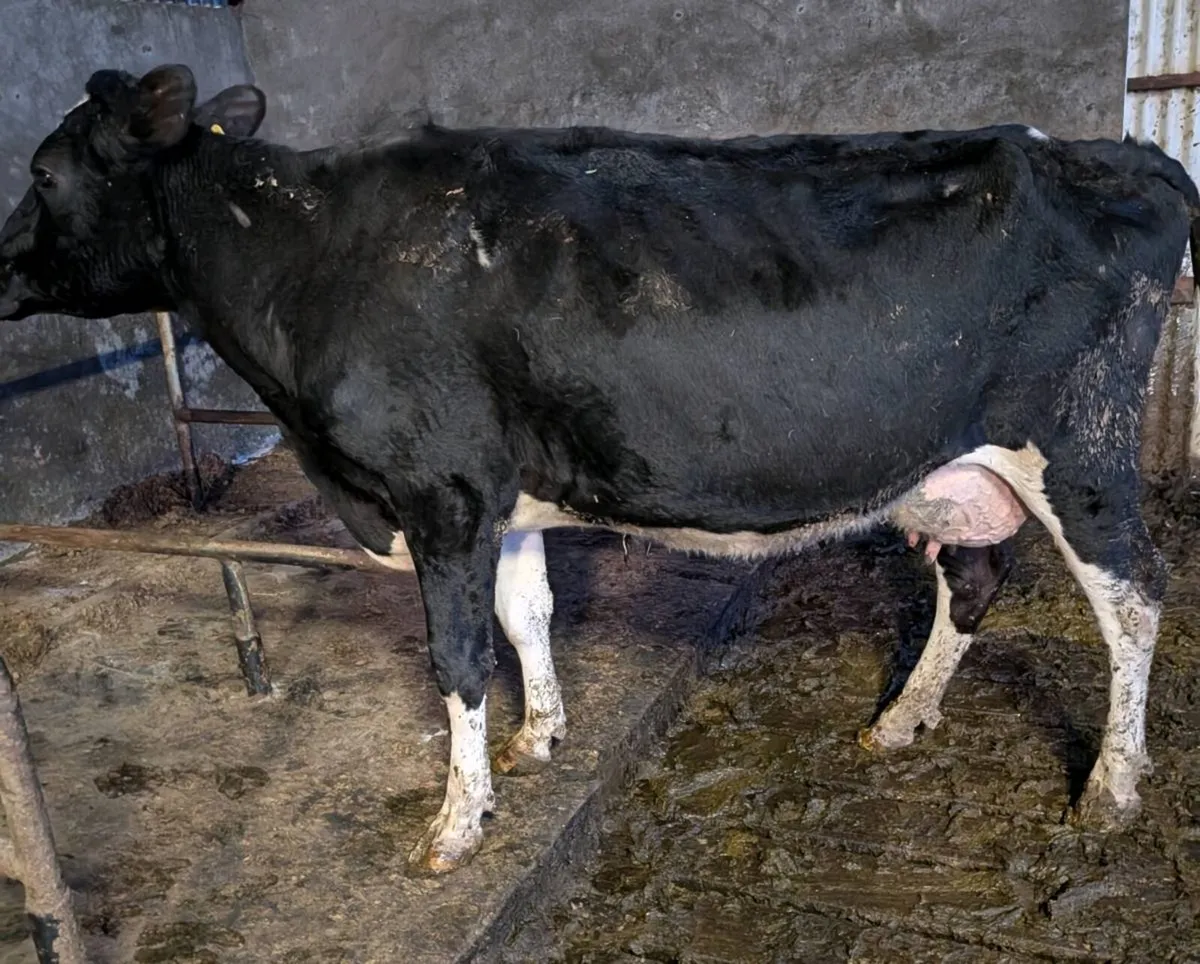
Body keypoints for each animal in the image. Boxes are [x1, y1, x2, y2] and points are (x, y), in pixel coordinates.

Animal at [2, 64, 1196, 876]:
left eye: (44, 171)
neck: (303, 257)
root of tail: (1119, 151)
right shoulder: (503, 497)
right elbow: (527, 612)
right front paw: (540, 736)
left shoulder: (439, 492)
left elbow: (458, 659)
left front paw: (456, 821)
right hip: (957, 472)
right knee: (973, 580)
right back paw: (903, 720)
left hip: (1080, 447)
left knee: (1136, 598)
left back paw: (1111, 787)